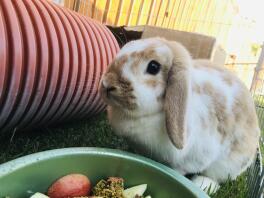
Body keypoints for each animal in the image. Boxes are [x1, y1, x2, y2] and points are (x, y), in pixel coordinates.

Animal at [99, 36, 260, 192]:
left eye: (153, 67)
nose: (107, 84)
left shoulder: (193, 158)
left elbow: (179, 170)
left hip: (228, 165)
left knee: (215, 177)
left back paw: (202, 184)